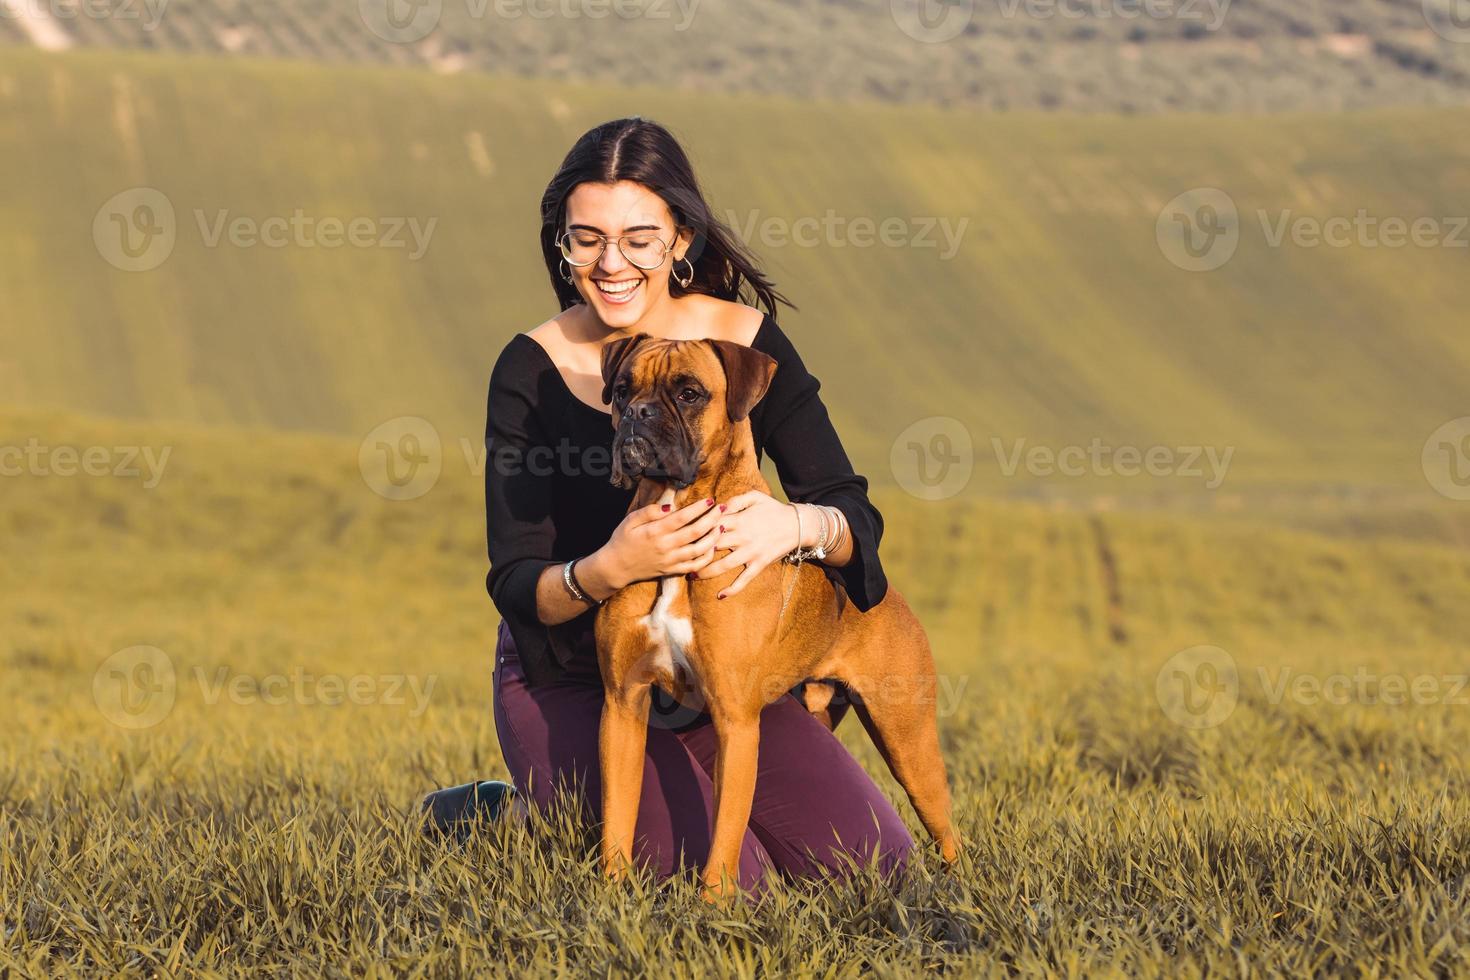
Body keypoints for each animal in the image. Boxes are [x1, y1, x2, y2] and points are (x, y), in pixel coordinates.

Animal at [590, 333, 958, 899]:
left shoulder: (736, 723)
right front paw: (611, 894)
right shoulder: (623, 706)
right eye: (623, 389)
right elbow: (618, 815)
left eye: (690, 393)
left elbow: (724, 836)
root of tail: (884, 592)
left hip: (908, 743)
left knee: (944, 824)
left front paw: (712, 906)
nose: (637, 413)